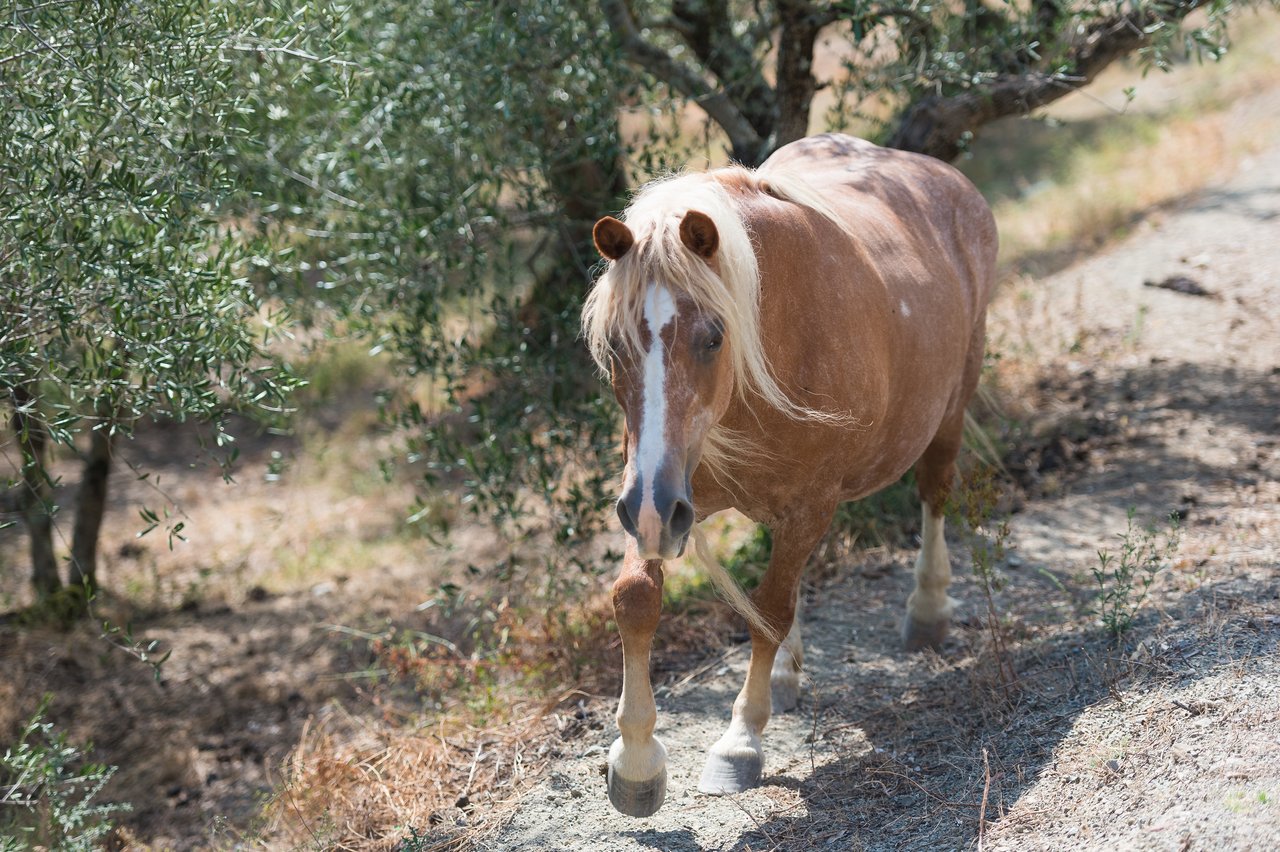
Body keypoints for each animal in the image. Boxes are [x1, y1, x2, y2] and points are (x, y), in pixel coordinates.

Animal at [582, 133, 998, 817]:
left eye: (713, 337)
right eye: (615, 347)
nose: (654, 509)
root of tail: (947, 177)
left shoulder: (801, 503)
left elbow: (770, 612)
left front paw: (740, 741)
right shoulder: (653, 494)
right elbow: (637, 597)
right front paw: (636, 761)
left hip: (951, 407)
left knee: (934, 494)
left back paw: (928, 609)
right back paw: (785, 676)